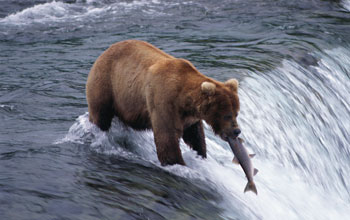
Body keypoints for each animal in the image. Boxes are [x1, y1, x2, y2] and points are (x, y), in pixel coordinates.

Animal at [87, 40, 241, 166]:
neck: (185, 100)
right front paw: (178, 163)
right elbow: (167, 138)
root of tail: (104, 52)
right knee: (101, 116)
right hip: (106, 84)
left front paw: (201, 154)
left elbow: (195, 136)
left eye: (236, 113)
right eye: (227, 115)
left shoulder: (190, 117)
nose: (237, 131)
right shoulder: (164, 101)